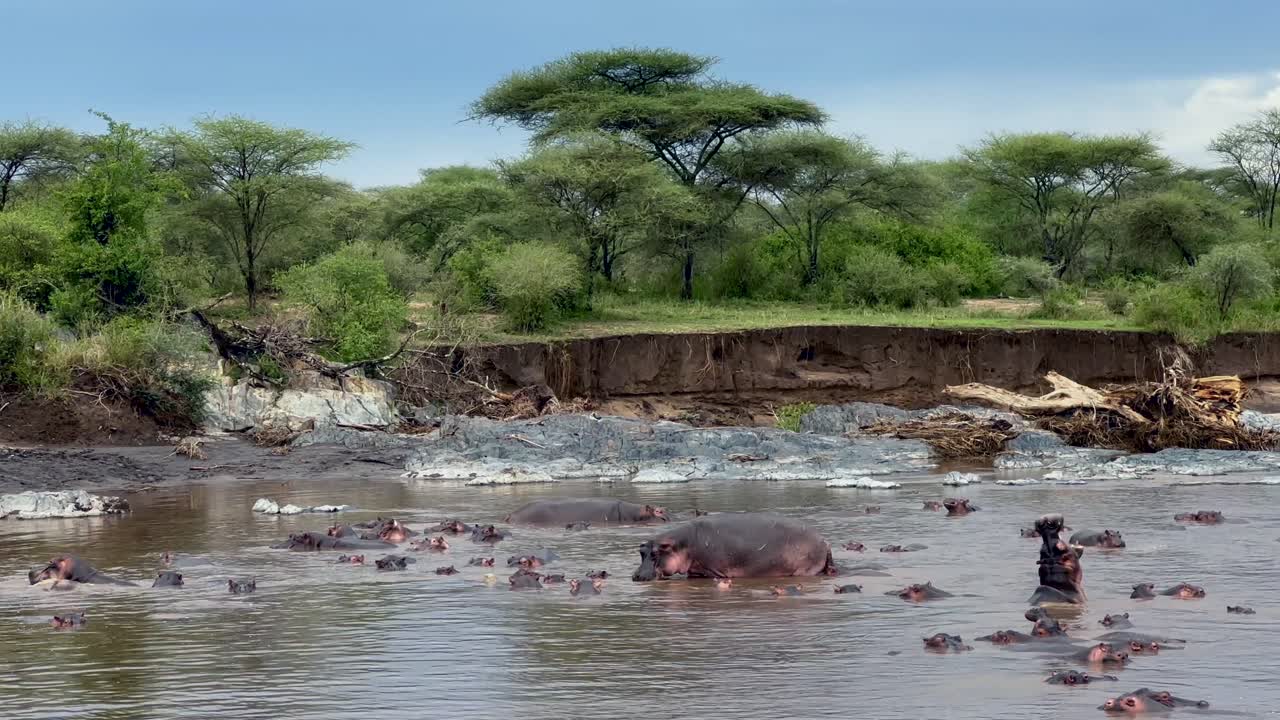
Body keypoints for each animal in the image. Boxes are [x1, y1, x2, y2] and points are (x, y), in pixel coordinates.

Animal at [631, 513, 835, 581]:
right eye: (641, 552)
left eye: (656, 553)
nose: (636, 576)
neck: (681, 545)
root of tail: (825, 541)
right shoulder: (695, 569)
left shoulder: (711, 570)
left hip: (805, 569)